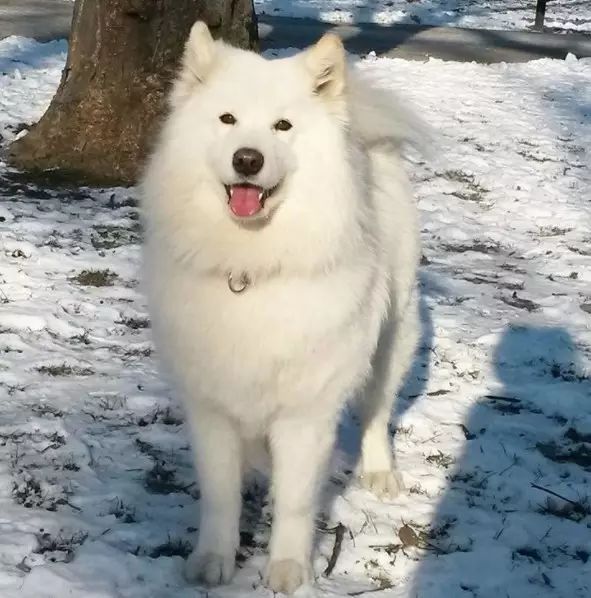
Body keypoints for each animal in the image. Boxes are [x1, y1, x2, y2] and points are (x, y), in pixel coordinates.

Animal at [142, 22, 424, 596]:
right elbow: (220, 494)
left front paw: (289, 570)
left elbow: (295, 500)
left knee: (376, 411)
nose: (247, 159)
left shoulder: (305, 411)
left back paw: (379, 472)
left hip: (392, 337)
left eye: (283, 126)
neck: (252, 265)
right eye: (227, 119)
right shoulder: (211, 406)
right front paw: (213, 560)